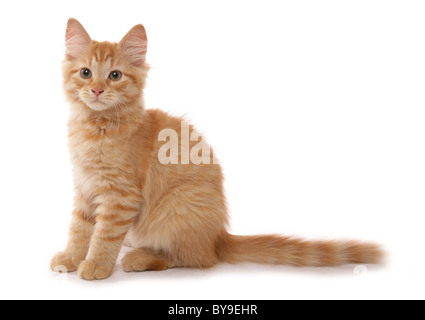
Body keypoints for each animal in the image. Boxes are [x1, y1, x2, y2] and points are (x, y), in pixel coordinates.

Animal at [49, 18, 380, 280]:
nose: (97, 90)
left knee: (195, 258)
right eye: (86, 73)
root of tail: (218, 237)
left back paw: (139, 256)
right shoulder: (85, 187)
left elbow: (103, 235)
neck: (95, 128)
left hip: (177, 207)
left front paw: (96, 265)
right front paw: (71, 257)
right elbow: (79, 228)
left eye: (115, 75)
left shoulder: (120, 196)